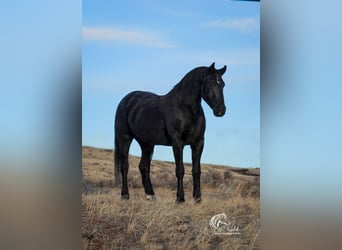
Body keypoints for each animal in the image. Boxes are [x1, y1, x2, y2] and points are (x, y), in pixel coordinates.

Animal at [114, 63, 227, 203]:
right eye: (210, 83)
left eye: (222, 84)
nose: (221, 110)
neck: (185, 108)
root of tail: (125, 100)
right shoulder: (177, 142)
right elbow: (180, 169)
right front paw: (180, 199)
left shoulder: (198, 143)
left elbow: (196, 170)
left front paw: (197, 198)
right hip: (124, 139)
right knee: (124, 166)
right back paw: (125, 196)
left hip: (146, 144)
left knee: (144, 167)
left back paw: (150, 195)